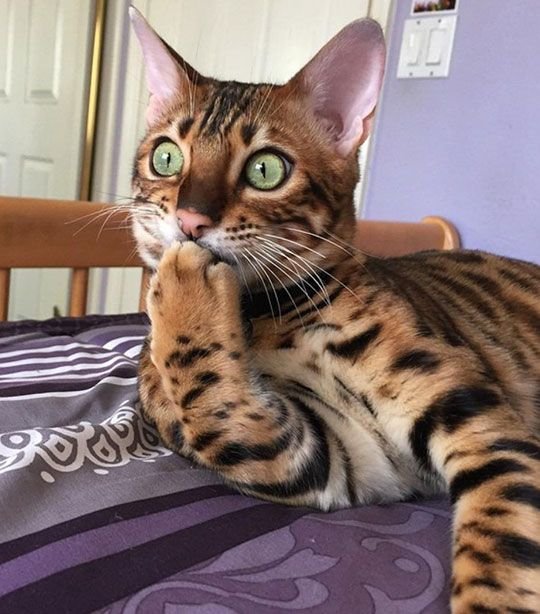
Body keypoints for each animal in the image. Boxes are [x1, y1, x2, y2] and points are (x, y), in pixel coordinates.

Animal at [130, 6, 540, 614]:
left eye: (266, 169)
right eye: (166, 157)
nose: (189, 222)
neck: (263, 319)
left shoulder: (486, 430)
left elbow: (503, 553)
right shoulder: (338, 459)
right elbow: (215, 417)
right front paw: (180, 291)